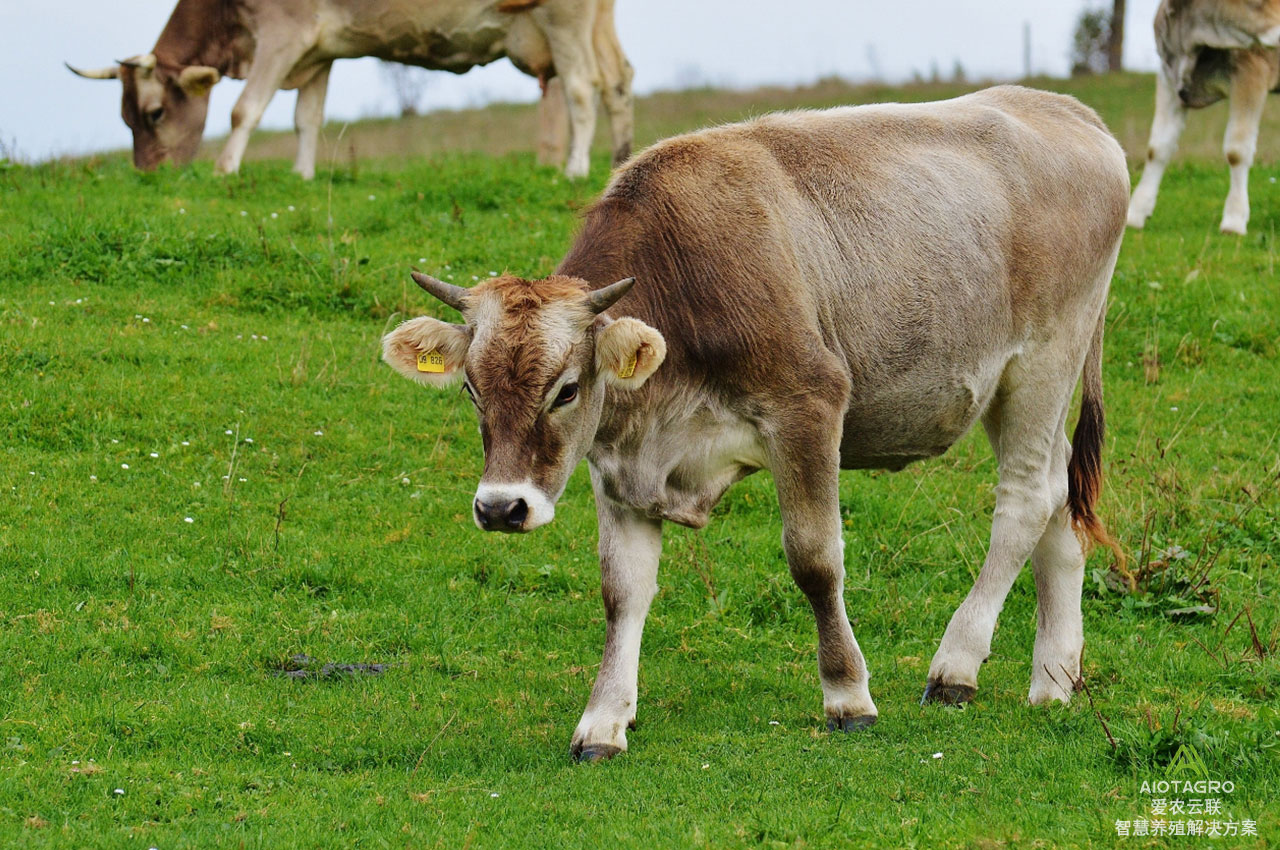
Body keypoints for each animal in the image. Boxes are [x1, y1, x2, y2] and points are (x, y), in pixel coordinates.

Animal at [64, 0, 634, 179]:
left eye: (155, 113)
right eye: (124, 119)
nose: (148, 174)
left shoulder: (283, 33)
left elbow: (246, 109)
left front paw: (226, 169)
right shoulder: (319, 52)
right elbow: (306, 119)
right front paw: (303, 174)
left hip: (564, 19)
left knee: (581, 89)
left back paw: (575, 167)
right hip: (596, 21)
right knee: (618, 83)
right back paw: (619, 162)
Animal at [381, 87, 1131, 762]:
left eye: (566, 391)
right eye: (472, 390)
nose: (501, 507)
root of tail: (1071, 111)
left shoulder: (809, 407)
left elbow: (815, 560)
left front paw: (848, 697)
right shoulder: (619, 466)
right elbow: (622, 592)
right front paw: (603, 721)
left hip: (1042, 361)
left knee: (1026, 498)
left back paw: (957, 666)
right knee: (1059, 498)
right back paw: (1055, 678)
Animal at [1131, 0, 1280, 234]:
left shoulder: (1251, 72)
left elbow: (1236, 150)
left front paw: (1234, 219)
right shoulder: (1168, 75)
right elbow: (1158, 148)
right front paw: (1136, 212)